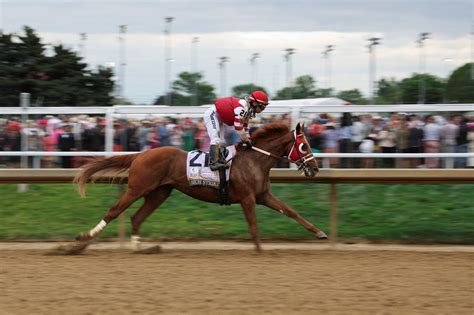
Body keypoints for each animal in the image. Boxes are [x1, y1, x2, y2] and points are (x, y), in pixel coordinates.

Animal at [74, 122, 328, 253]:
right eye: (304, 146)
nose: (315, 168)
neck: (254, 159)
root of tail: (141, 154)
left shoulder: (263, 195)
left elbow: (291, 212)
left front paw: (320, 233)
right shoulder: (247, 198)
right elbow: (253, 225)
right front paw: (259, 250)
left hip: (159, 193)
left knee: (137, 217)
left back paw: (139, 247)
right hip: (137, 188)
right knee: (114, 211)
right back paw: (83, 239)